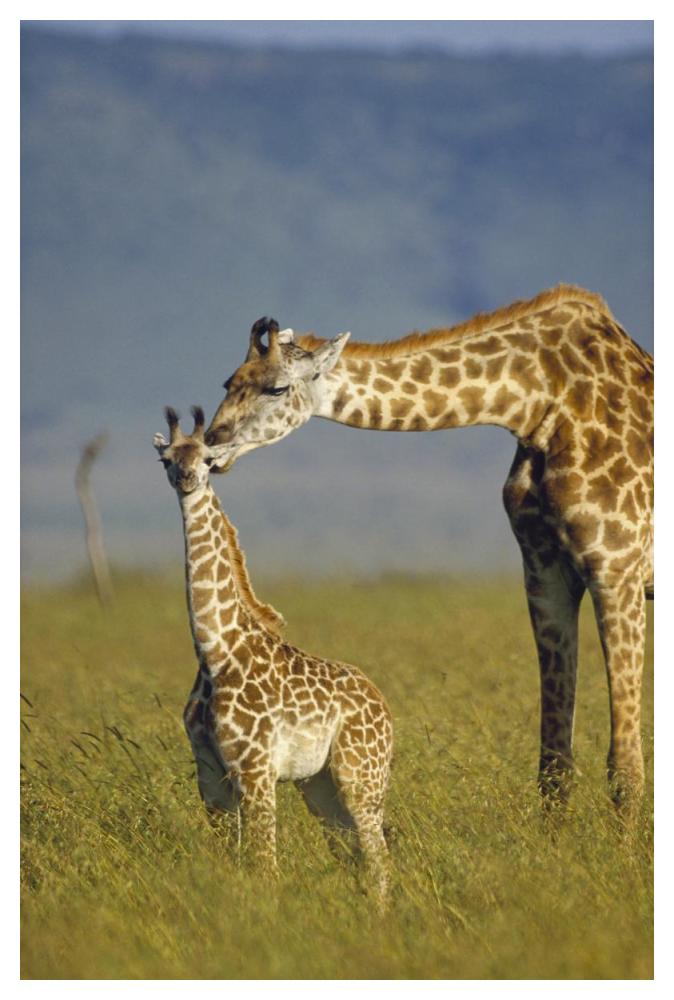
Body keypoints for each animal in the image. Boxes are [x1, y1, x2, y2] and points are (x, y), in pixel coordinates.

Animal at [153, 406, 393, 899]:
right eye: (166, 459)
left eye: (208, 459)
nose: (186, 478)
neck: (215, 651)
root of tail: (383, 706)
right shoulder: (211, 774)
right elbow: (234, 862)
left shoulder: (255, 769)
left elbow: (265, 866)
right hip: (319, 785)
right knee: (355, 857)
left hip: (361, 776)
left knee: (379, 862)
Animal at [204, 288, 654, 814]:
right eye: (228, 382)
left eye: (275, 389)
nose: (211, 444)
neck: (537, 405)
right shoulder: (544, 573)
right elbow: (554, 763)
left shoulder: (616, 567)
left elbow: (625, 766)